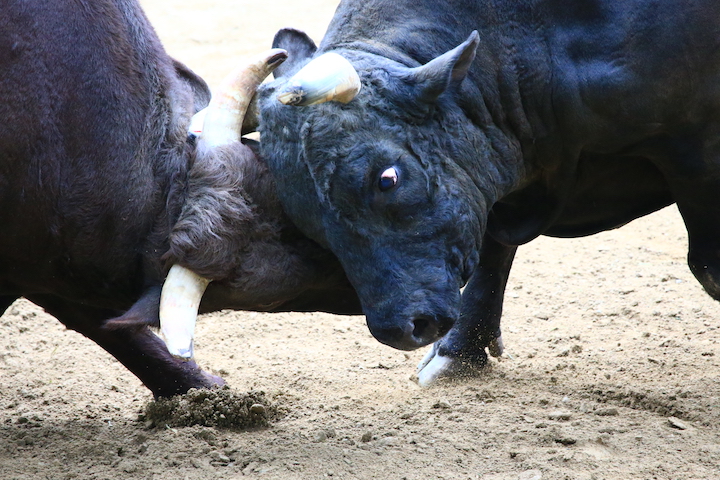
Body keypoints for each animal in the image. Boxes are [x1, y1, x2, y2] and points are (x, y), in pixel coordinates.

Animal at [258, 0, 720, 382]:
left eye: (387, 179)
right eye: (307, 220)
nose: (400, 327)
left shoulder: (695, 154)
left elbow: (707, 268)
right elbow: (491, 251)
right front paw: (459, 354)